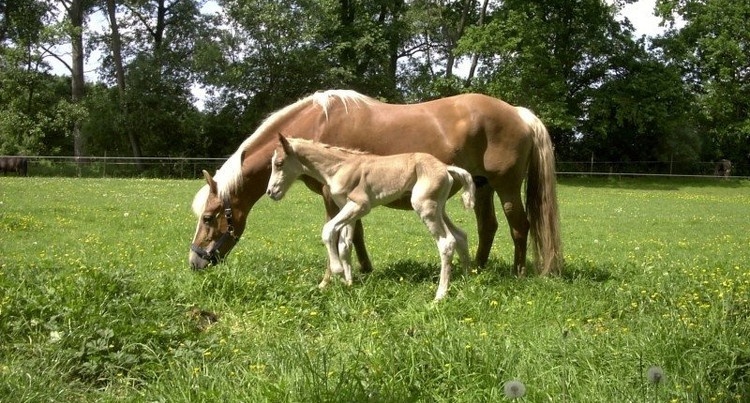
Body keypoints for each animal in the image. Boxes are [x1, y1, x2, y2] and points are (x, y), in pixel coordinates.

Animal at [189, 88, 564, 278]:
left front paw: (333, 276)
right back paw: (478, 269)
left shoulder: (330, 196)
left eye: (208, 218)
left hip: (507, 187)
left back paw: (518, 272)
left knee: (519, 225)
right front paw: (364, 270)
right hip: (483, 187)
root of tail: (519, 113)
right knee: (488, 226)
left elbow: (337, 233)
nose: (195, 262)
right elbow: (355, 234)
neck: (317, 124)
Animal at [266, 134, 476, 302]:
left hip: (424, 207)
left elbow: (328, 230)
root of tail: (446, 167)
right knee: (460, 235)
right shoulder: (348, 209)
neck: (339, 167)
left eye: (279, 163)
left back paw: (440, 295)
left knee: (447, 242)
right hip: (439, 208)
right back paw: (467, 279)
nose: (270, 192)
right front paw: (348, 284)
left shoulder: (360, 206)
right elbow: (344, 245)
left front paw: (337, 271)